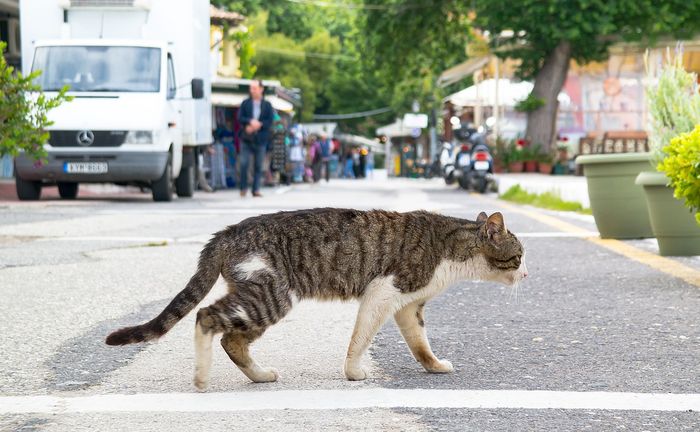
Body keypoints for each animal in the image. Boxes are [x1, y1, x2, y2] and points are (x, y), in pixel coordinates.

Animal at [106, 208, 528, 390]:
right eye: (521, 255)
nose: (527, 274)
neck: (453, 250)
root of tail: (227, 232)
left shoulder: (409, 306)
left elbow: (419, 343)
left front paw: (434, 366)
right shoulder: (384, 291)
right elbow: (360, 338)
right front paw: (354, 372)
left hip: (258, 297)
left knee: (232, 339)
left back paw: (259, 375)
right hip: (271, 295)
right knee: (206, 317)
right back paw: (201, 376)